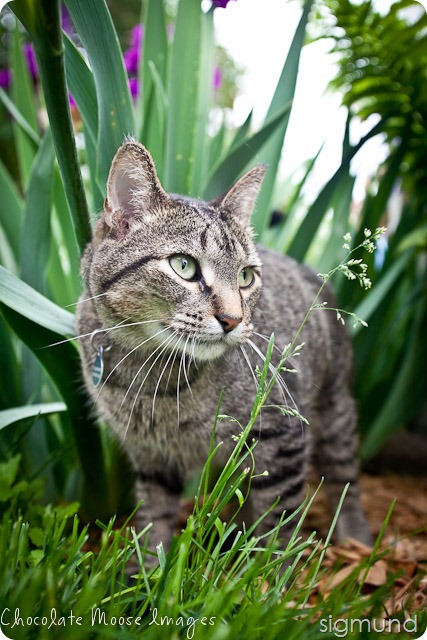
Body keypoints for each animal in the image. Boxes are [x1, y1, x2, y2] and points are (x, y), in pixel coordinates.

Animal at [76, 141, 372, 556]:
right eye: (184, 266)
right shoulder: (151, 457)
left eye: (246, 276)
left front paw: (275, 571)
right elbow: (154, 520)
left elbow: (279, 521)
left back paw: (356, 540)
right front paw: (145, 568)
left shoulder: (282, 435)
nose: (232, 319)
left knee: (345, 479)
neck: (153, 374)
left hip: (335, 409)